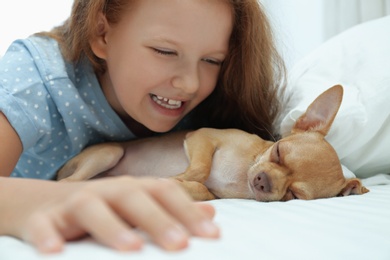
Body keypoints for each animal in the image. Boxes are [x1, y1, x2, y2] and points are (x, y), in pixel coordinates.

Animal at [57, 85, 368, 201]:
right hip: (109, 153)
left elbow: (201, 190)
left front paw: (178, 186)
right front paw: (176, 177)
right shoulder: (202, 137)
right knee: (66, 184)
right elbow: (199, 170)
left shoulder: (216, 195)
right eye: (277, 152)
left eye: (293, 195)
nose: (263, 181)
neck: (241, 176)